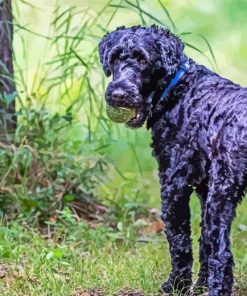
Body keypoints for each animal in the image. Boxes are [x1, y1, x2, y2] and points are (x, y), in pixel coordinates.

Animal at [97, 25, 246, 296]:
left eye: (143, 59)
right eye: (114, 58)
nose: (119, 94)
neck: (181, 90)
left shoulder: (174, 184)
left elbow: (180, 242)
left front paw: (177, 285)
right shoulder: (204, 188)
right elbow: (203, 243)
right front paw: (200, 286)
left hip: (221, 196)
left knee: (223, 255)